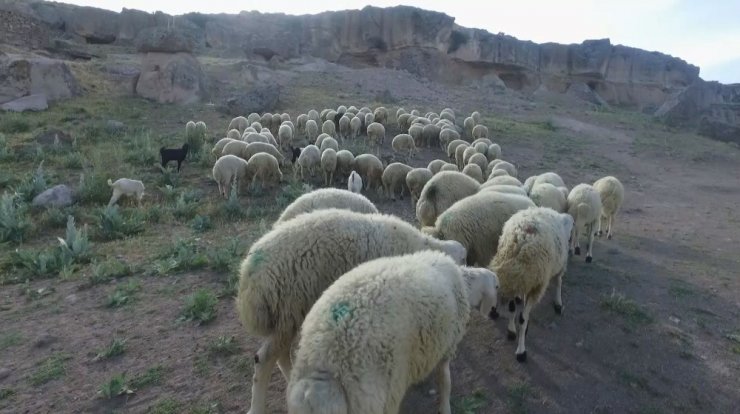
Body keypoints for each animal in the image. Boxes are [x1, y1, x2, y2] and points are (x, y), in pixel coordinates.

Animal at [234, 210, 466, 414]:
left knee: (280, 355)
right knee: (264, 358)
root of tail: (248, 275)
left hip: (288, 317)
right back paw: (256, 407)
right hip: (289, 309)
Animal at [284, 249, 498, 414]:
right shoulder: (447, 347)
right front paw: (445, 408)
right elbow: (445, 382)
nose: (496, 314)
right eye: (497, 286)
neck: (464, 285)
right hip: (377, 397)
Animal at [488, 209, 576, 360]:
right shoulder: (520, 284)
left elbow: (520, 317)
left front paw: (519, 346)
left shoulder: (530, 286)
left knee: (557, 282)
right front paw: (514, 335)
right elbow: (515, 311)